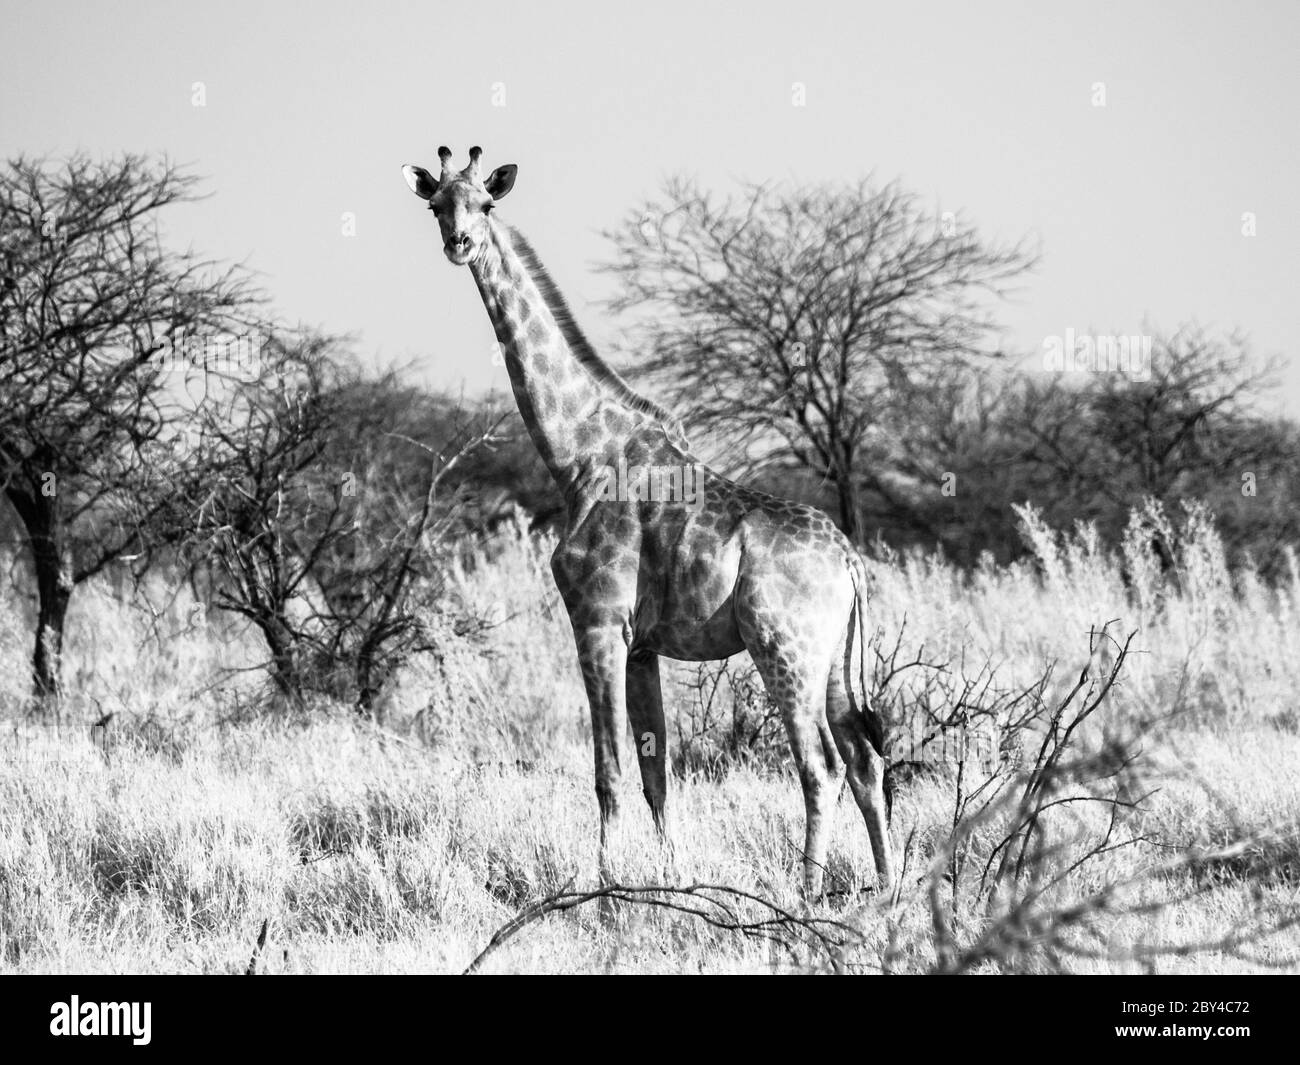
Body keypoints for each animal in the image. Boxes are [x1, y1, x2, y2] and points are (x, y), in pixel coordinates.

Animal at [400, 147, 899, 899]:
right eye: (436, 205)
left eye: (485, 204)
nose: (459, 243)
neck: (577, 452)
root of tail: (850, 562)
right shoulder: (642, 645)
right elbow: (655, 772)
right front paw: (669, 881)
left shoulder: (598, 620)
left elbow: (607, 770)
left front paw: (604, 887)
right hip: (835, 659)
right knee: (866, 762)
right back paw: (890, 889)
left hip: (784, 649)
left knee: (822, 766)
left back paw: (804, 893)